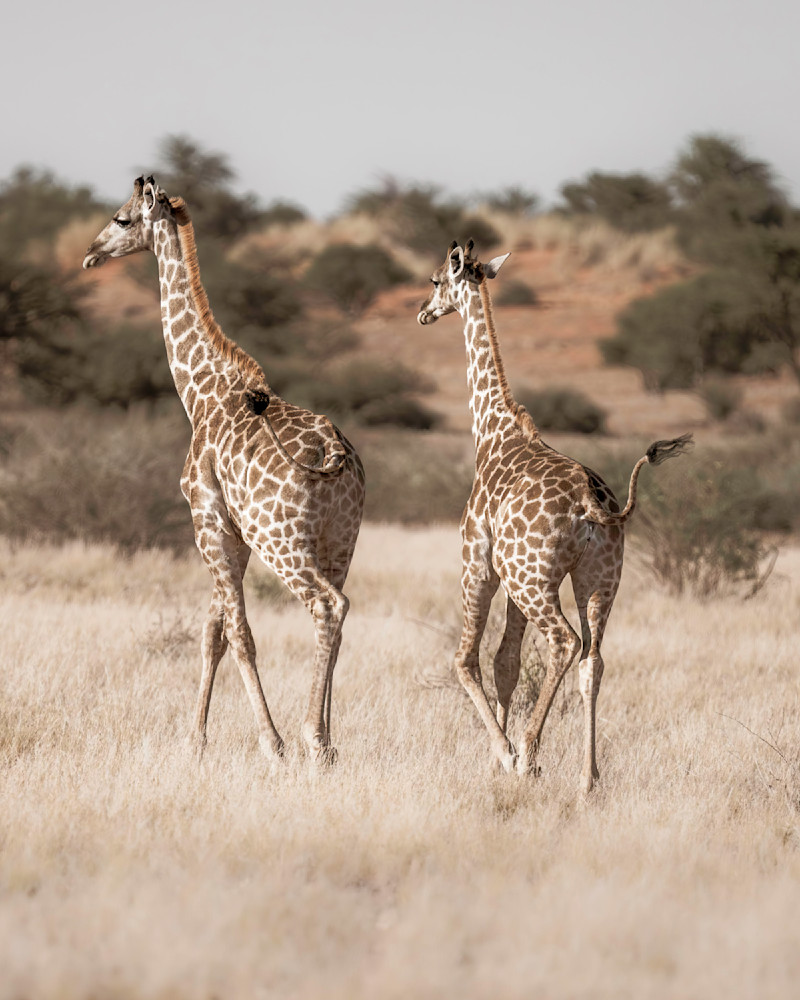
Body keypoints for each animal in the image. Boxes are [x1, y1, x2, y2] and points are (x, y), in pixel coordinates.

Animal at [83, 177, 365, 764]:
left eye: (122, 218)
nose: (90, 253)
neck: (201, 392)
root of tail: (335, 453)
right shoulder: (228, 532)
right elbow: (214, 629)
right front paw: (196, 740)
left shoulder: (207, 520)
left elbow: (237, 631)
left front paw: (270, 743)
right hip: (339, 540)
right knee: (340, 611)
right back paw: (328, 742)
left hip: (282, 541)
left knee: (325, 607)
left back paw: (309, 738)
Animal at [417, 240, 691, 792]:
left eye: (436, 280)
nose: (423, 313)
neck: (491, 432)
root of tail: (589, 504)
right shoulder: (512, 578)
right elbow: (506, 663)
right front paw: (500, 760)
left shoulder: (479, 563)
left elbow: (467, 661)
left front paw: (504, 755)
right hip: (598, 580)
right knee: (593, 660)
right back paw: (588, 779)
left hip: (533, 579)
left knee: (563, 643)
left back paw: (528, 753)